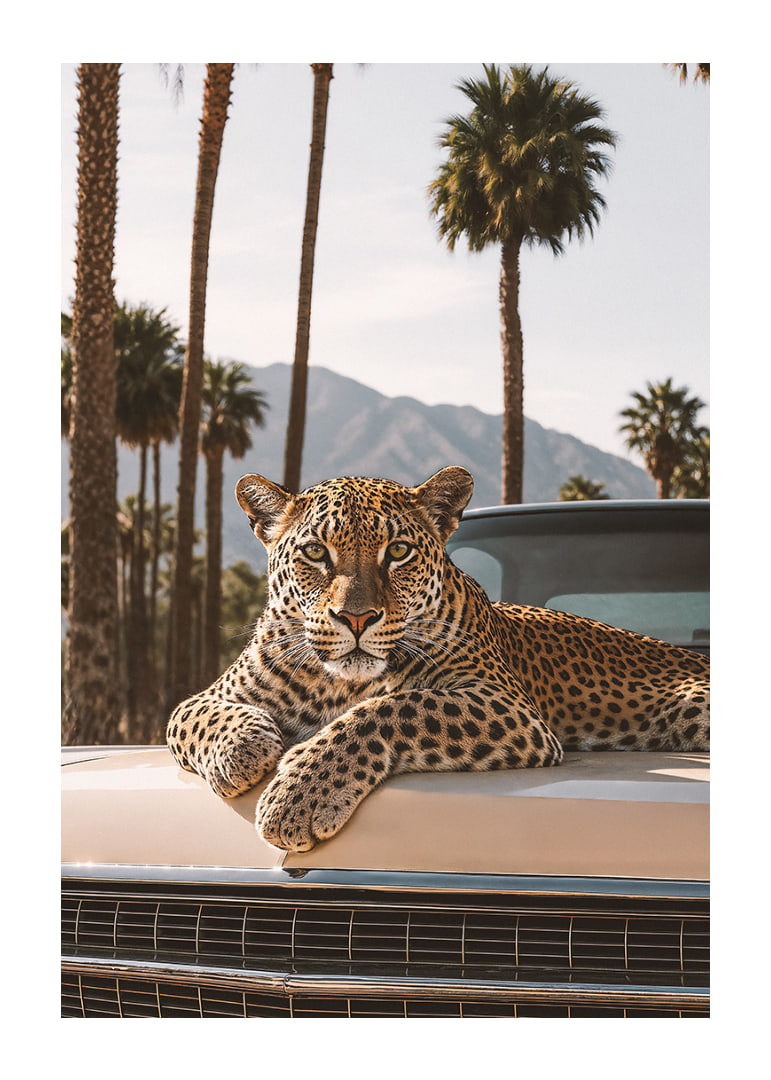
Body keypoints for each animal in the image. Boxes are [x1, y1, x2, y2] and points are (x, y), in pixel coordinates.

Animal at [167, 466, 709, 852]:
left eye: (399, 552)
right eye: (316, 553)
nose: (356, 618)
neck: (337, 684)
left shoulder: (507, 705)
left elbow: (394, 708)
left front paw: (300, 793)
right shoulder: (209, 696)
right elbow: (200, 716)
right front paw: (241, 750)